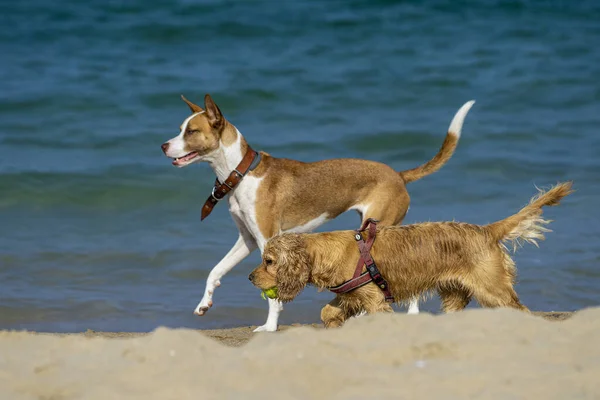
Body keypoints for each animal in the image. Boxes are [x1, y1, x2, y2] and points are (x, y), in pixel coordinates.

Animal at [159, 94, 474, 332]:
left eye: (191, 131)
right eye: (180, 128)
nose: (163, 146)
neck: (241, 172)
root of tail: (398, 175)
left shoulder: (267, 239)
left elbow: (273, 294)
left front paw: (270, 327)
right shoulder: (247, 239)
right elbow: (215, 271)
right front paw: (204, 303)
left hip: (376, 228)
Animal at [247, 181, 572, 328]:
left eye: (269, 262)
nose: (250, 278)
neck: (327, 251)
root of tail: (486, 230)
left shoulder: (375, 300)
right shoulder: (351, 294)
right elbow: (328, 311)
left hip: (493, 289)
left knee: (519, 309)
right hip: (455, 293)